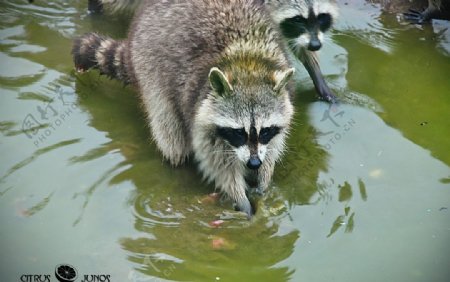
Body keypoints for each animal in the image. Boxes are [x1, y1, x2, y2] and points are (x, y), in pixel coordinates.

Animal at [72, 0, 298, 218]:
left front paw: (264, 180)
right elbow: (217, 163)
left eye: (266, 130)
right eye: (238, 132)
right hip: (149, 65)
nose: (254, 163)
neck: (246, 64)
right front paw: (239, 195)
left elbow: (273, 146)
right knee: (169, 131)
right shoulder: (199, 110)